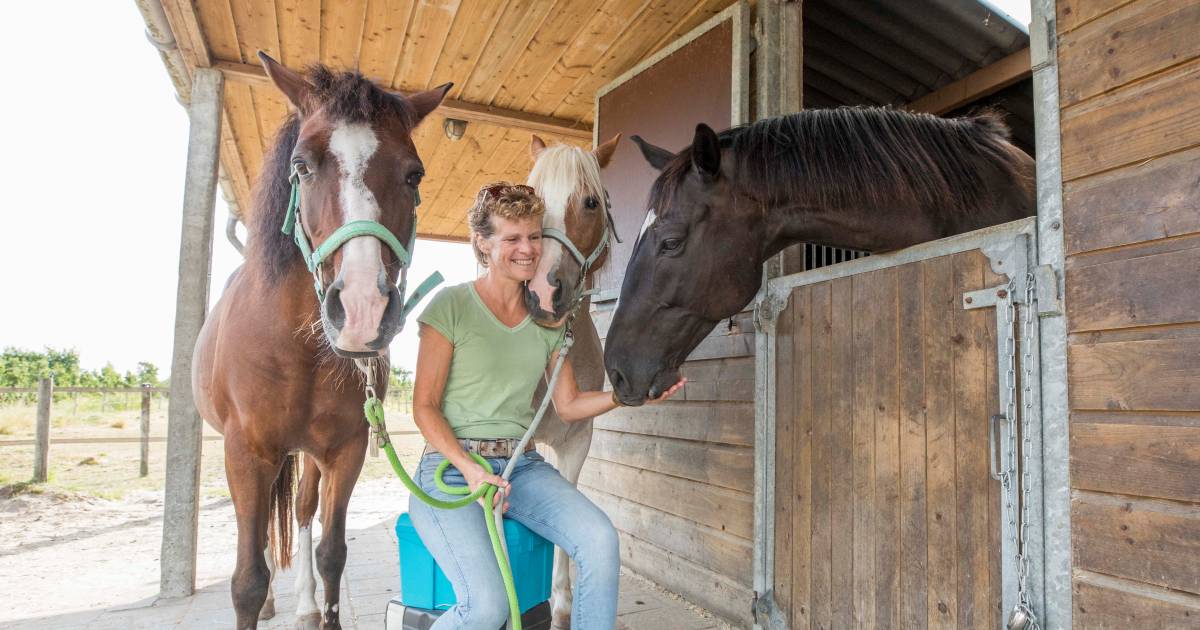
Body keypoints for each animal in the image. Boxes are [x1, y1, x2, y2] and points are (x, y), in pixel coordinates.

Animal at [191, 52, 449, 629]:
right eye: (302, 166)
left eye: (415, 174)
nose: (361, 311)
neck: (299, 350)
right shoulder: (246, 453)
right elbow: (246, 579)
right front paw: (259, 595)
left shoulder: (346, 448)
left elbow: (332, 551)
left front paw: (320, 607)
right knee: (265, 528)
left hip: (309, 454)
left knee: (302, 509)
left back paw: (305, 606)